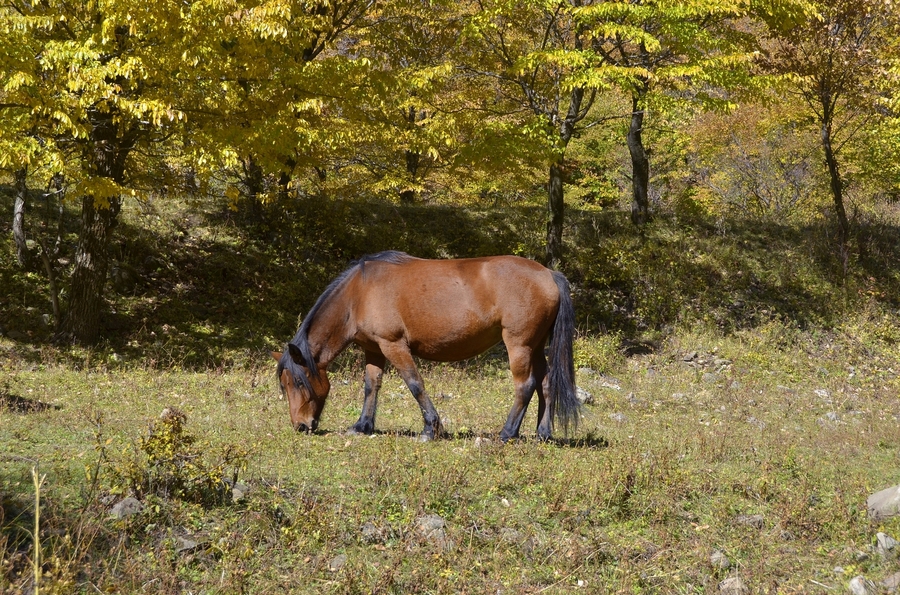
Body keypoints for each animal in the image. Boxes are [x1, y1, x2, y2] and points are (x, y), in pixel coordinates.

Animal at [270, 251, 580, 442]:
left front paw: (431, 428)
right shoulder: (374, 349)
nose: (300, 425)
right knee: (546, 382)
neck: (359, 294)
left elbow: (415, 384)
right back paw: (543, 432)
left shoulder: (394, 345)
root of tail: (548, 274)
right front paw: (362, 426)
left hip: (519, 344)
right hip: (536, 346)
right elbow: (372, 386)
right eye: (284, 385)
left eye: (298, 383)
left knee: (525, 385)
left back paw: (507, 433)